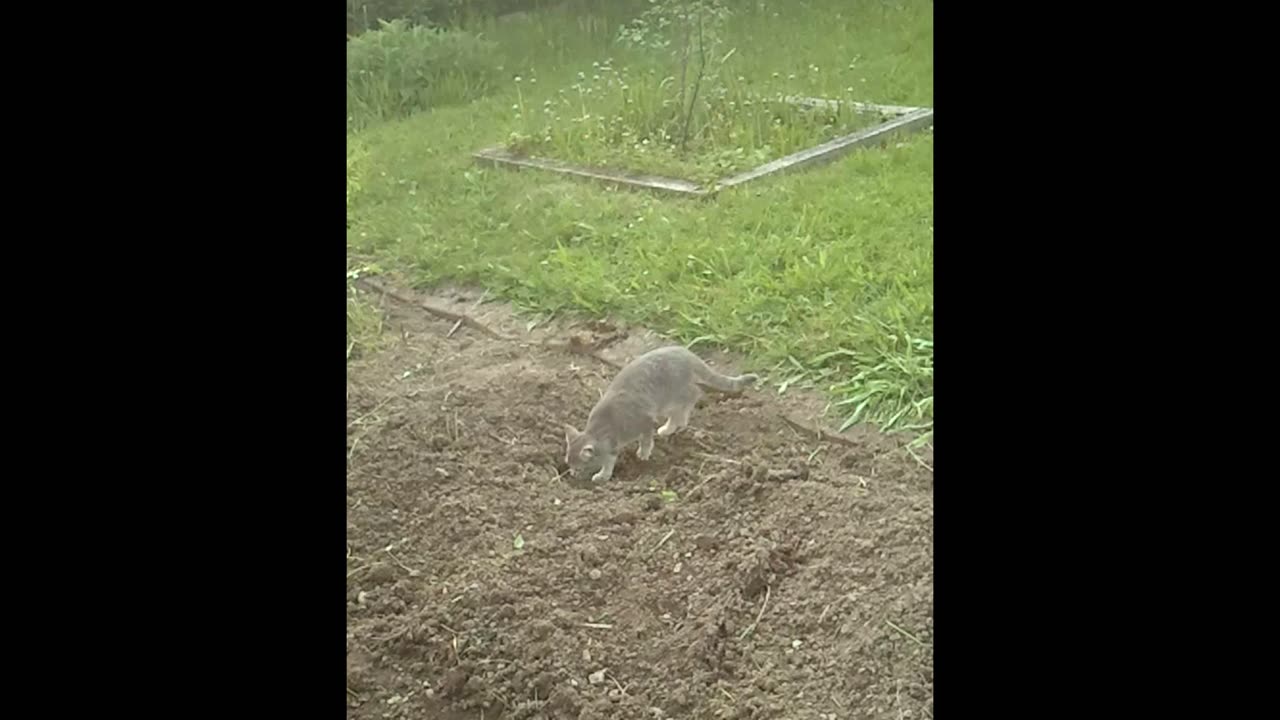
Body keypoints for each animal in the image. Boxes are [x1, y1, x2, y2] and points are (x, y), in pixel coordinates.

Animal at [563, 343, 757, 481]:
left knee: (692, 397)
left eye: (578, 467)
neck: (603, 428)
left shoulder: (644, 422)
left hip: (673, 397)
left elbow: (643, 442)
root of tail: (688, 354)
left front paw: (640, 455)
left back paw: (671, 426)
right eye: (568, 464)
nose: (572, 474)